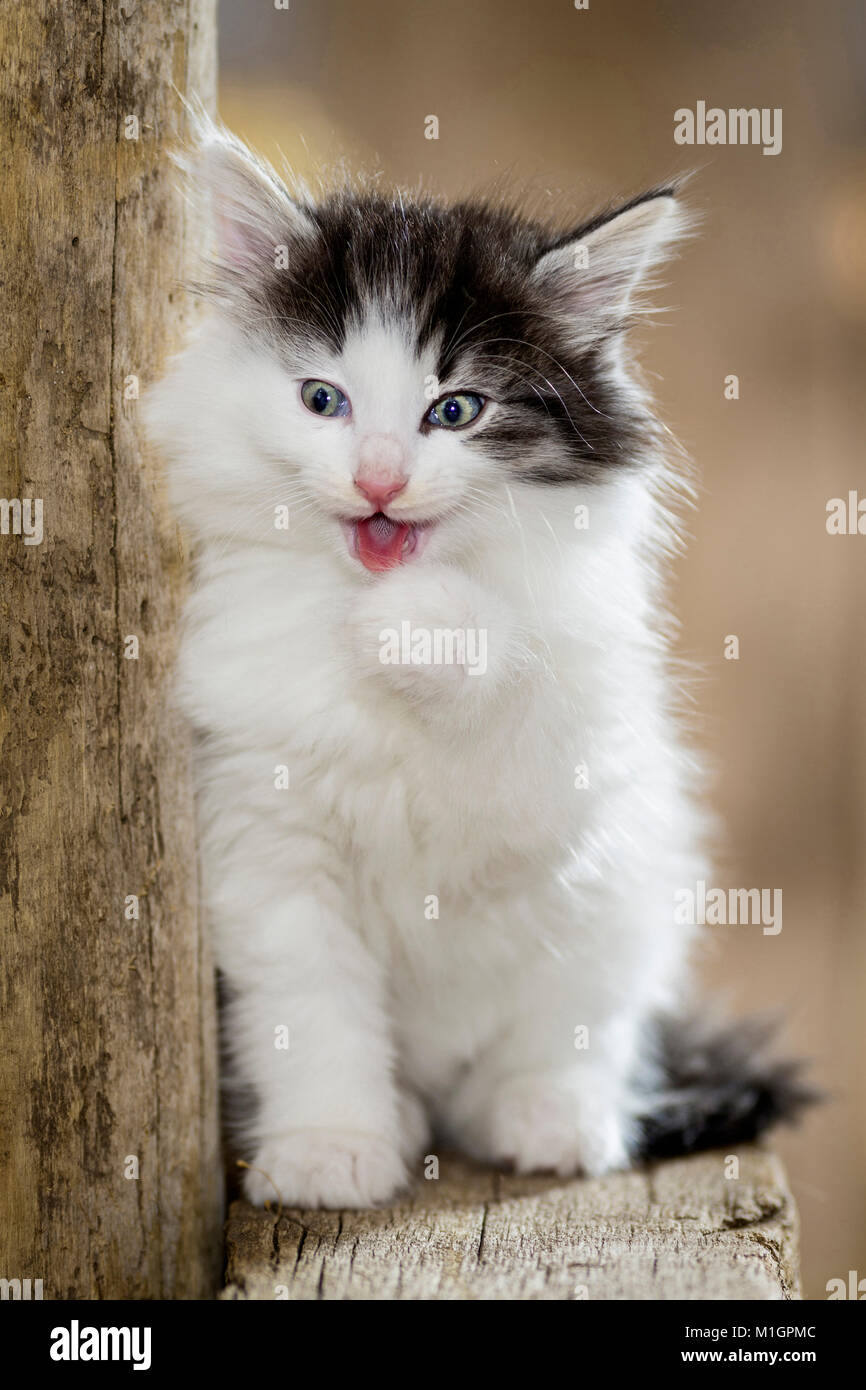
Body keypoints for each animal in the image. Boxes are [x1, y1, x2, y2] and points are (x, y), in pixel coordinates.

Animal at [145, 122, 817, 1206]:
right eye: (322, 400)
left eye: (455, 410)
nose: (379, 480)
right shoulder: (264, 835)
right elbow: (311, 1011)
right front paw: (331, 1148)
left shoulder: (569, 741)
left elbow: (499, 649)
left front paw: (404, 626)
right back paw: (406, 1115)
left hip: (629, 886)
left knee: (579, 1026)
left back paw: (553, 1117)